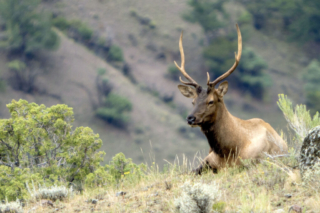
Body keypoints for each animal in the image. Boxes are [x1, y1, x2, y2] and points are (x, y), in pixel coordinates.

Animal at [174, 24, 288, 174]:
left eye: (211, 101)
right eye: (193, 102)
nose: (190, 118)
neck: (228, 151)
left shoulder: (251, 162)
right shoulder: (207, 161)